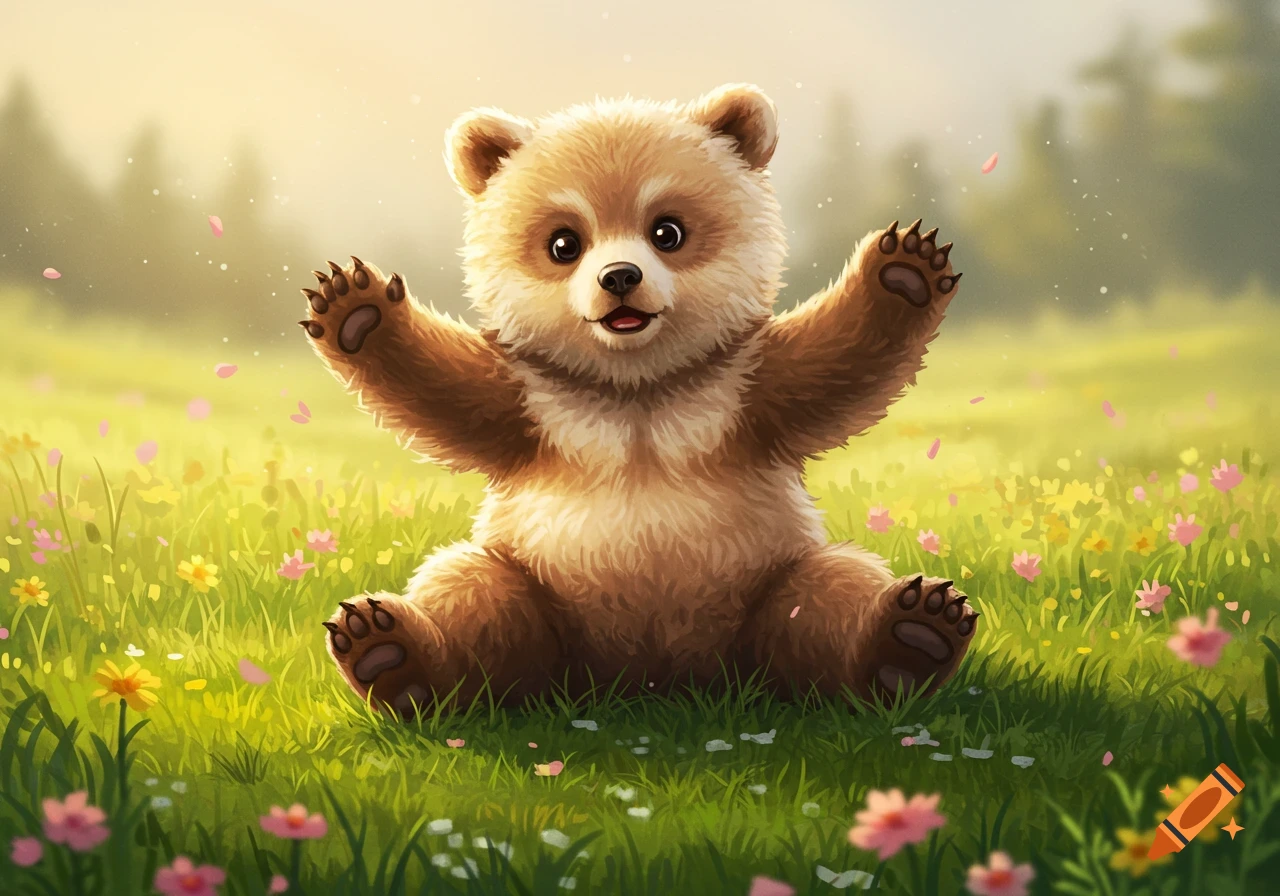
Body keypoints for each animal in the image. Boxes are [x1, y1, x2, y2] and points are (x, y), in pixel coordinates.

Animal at [301, 83, 977, 717]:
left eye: (667, 230)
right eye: (564, 242)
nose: (620, 277)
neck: (637, 391)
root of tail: (643, 681)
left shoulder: (740, 389)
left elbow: (828, 365)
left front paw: (903, 271)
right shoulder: (535, 402)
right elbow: (454, 391)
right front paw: (357, 309)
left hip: (766, 587)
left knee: (831, 592)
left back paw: (910, 639)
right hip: (536, 592)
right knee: (469, 593)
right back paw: (392, 655)